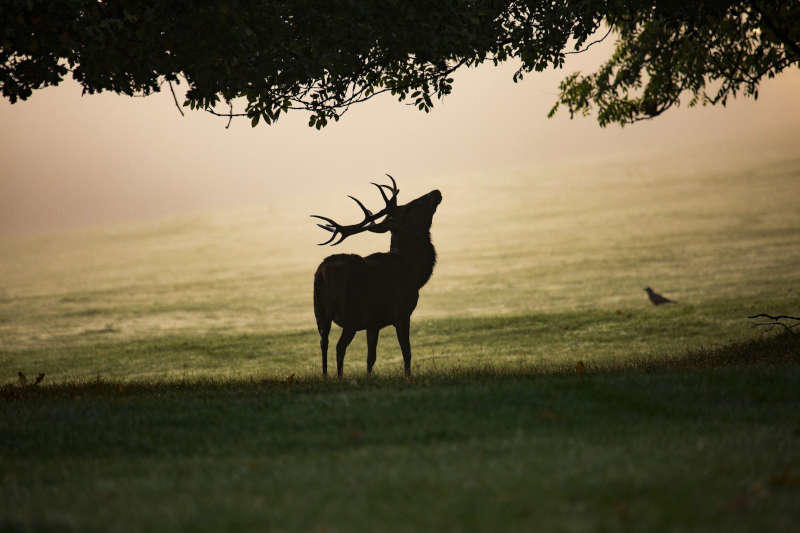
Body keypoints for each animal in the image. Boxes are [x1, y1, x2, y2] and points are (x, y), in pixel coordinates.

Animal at [311, 175, 442, 378]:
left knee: (324, 343)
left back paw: (327, 376)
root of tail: (322, 274)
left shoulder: (373, 323)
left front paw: (369, 376)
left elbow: (370, 358)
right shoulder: (401, 313)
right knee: (339, 346)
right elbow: (407, 352)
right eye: (410, 206)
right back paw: (338, 377)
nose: (435, 192)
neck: (414, 272)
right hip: (350, 312)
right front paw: (407, 376)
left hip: (320, 311)